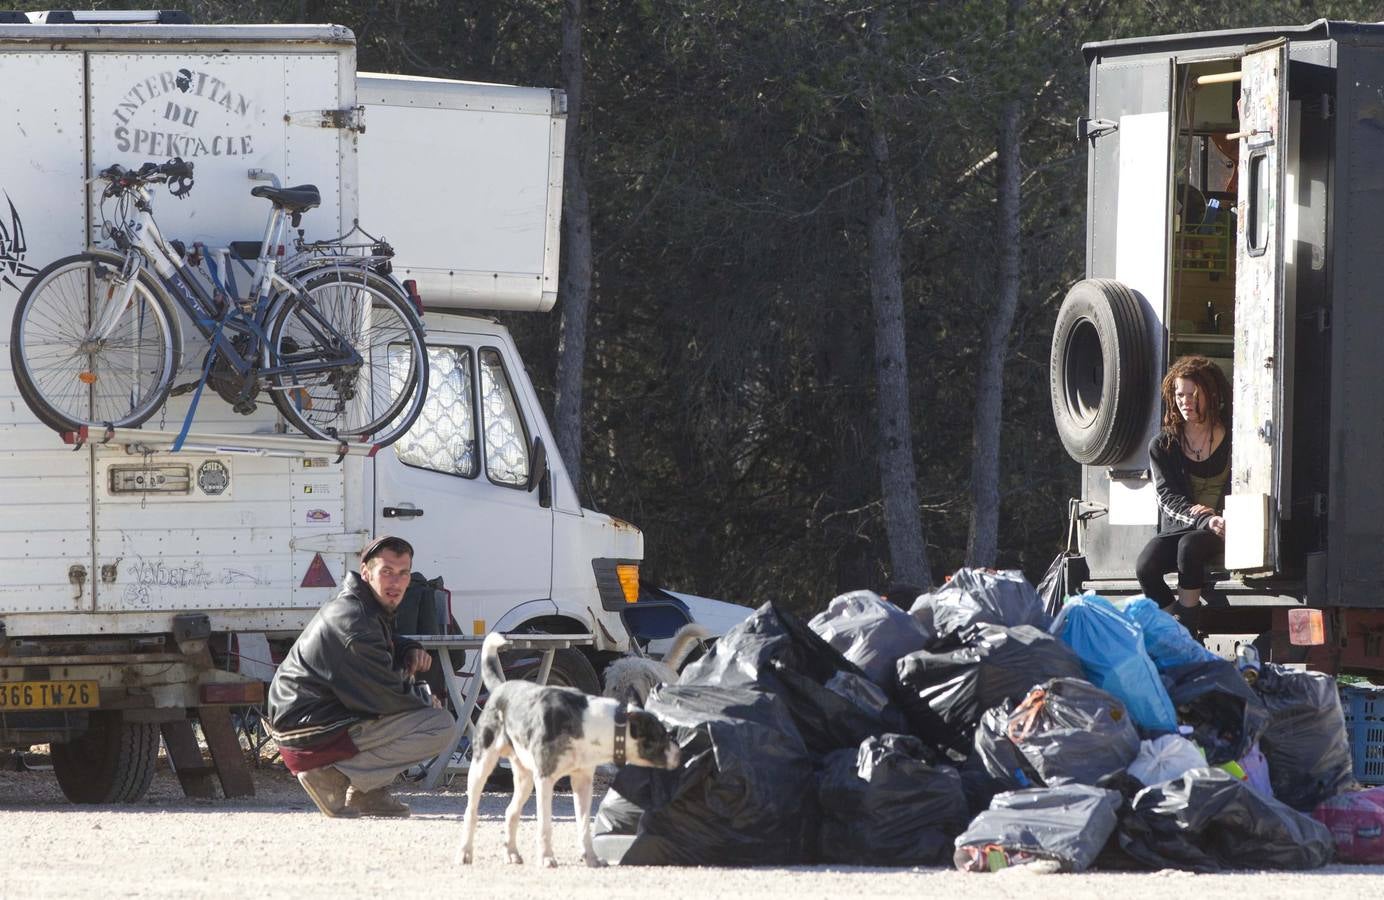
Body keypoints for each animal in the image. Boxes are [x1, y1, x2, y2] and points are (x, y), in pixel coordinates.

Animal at [459, 628, 680, 864]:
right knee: (471, 812)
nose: (681, 753)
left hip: (524, 778)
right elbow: (545, 824)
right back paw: (465, 852)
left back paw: (511, 854)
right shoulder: (545, 781)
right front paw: (547, 857)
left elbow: (583, 825)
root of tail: (502, 687)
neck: (590, 723)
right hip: (482, 767)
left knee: (511, 812)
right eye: (659, 735)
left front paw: (591, 858)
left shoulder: (582, 783)